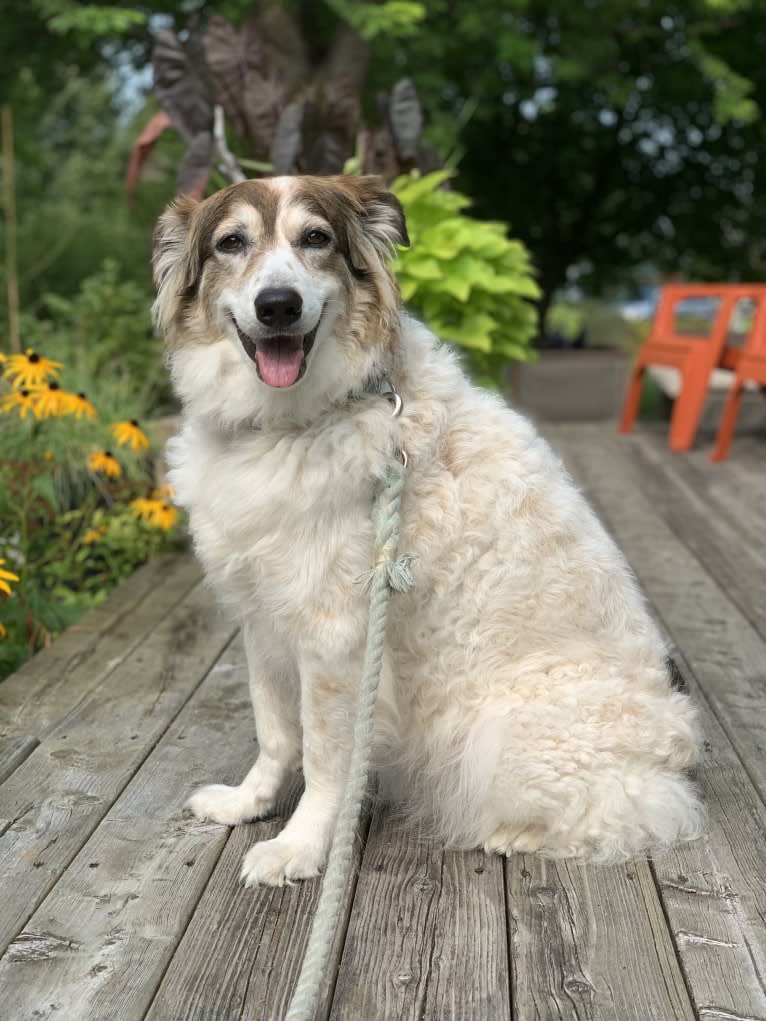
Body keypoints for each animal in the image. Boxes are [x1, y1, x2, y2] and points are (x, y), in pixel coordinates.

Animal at [153, 173, 706, 886]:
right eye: (231, 243)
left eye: (316, 239)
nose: (277, 306)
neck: (293, 422)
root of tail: (680, 742)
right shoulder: (264, 620)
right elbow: (276, 734)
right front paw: (248, 803)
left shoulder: (336, 639)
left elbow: (325, 759)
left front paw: (301, 847)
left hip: (504, 737)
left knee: (635, 810)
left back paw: (511, 835)